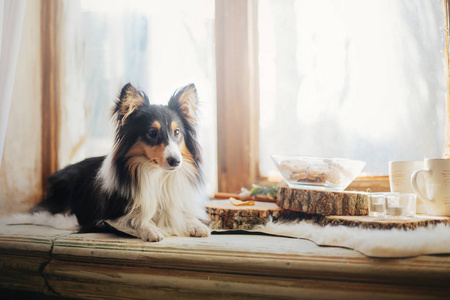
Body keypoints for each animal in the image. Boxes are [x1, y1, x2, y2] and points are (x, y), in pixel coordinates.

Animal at [31, 83, 211, 243]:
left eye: (177, 132)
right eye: (152, 132)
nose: (176, 161)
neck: (156, 174)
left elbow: (181, 214)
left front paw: (197, 225)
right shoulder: (108, 216)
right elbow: (134, 219)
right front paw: (150, 229)